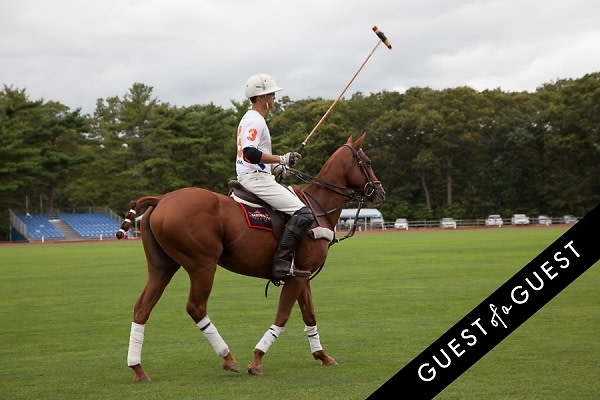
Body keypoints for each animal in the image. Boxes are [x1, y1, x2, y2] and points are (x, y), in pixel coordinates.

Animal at [116, 132, 384, 382]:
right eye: (368, 161)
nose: (380, 191)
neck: (319, 208)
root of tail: (161, 199)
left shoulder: (302, 273)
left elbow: (309, 314)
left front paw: (322, 356)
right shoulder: (296, 276)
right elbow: (283, 316)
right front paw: (256, 360)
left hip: (162, 265)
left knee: (142, 307)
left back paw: (137, 368)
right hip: (202, 264)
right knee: (196, 307)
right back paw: (228, 358)